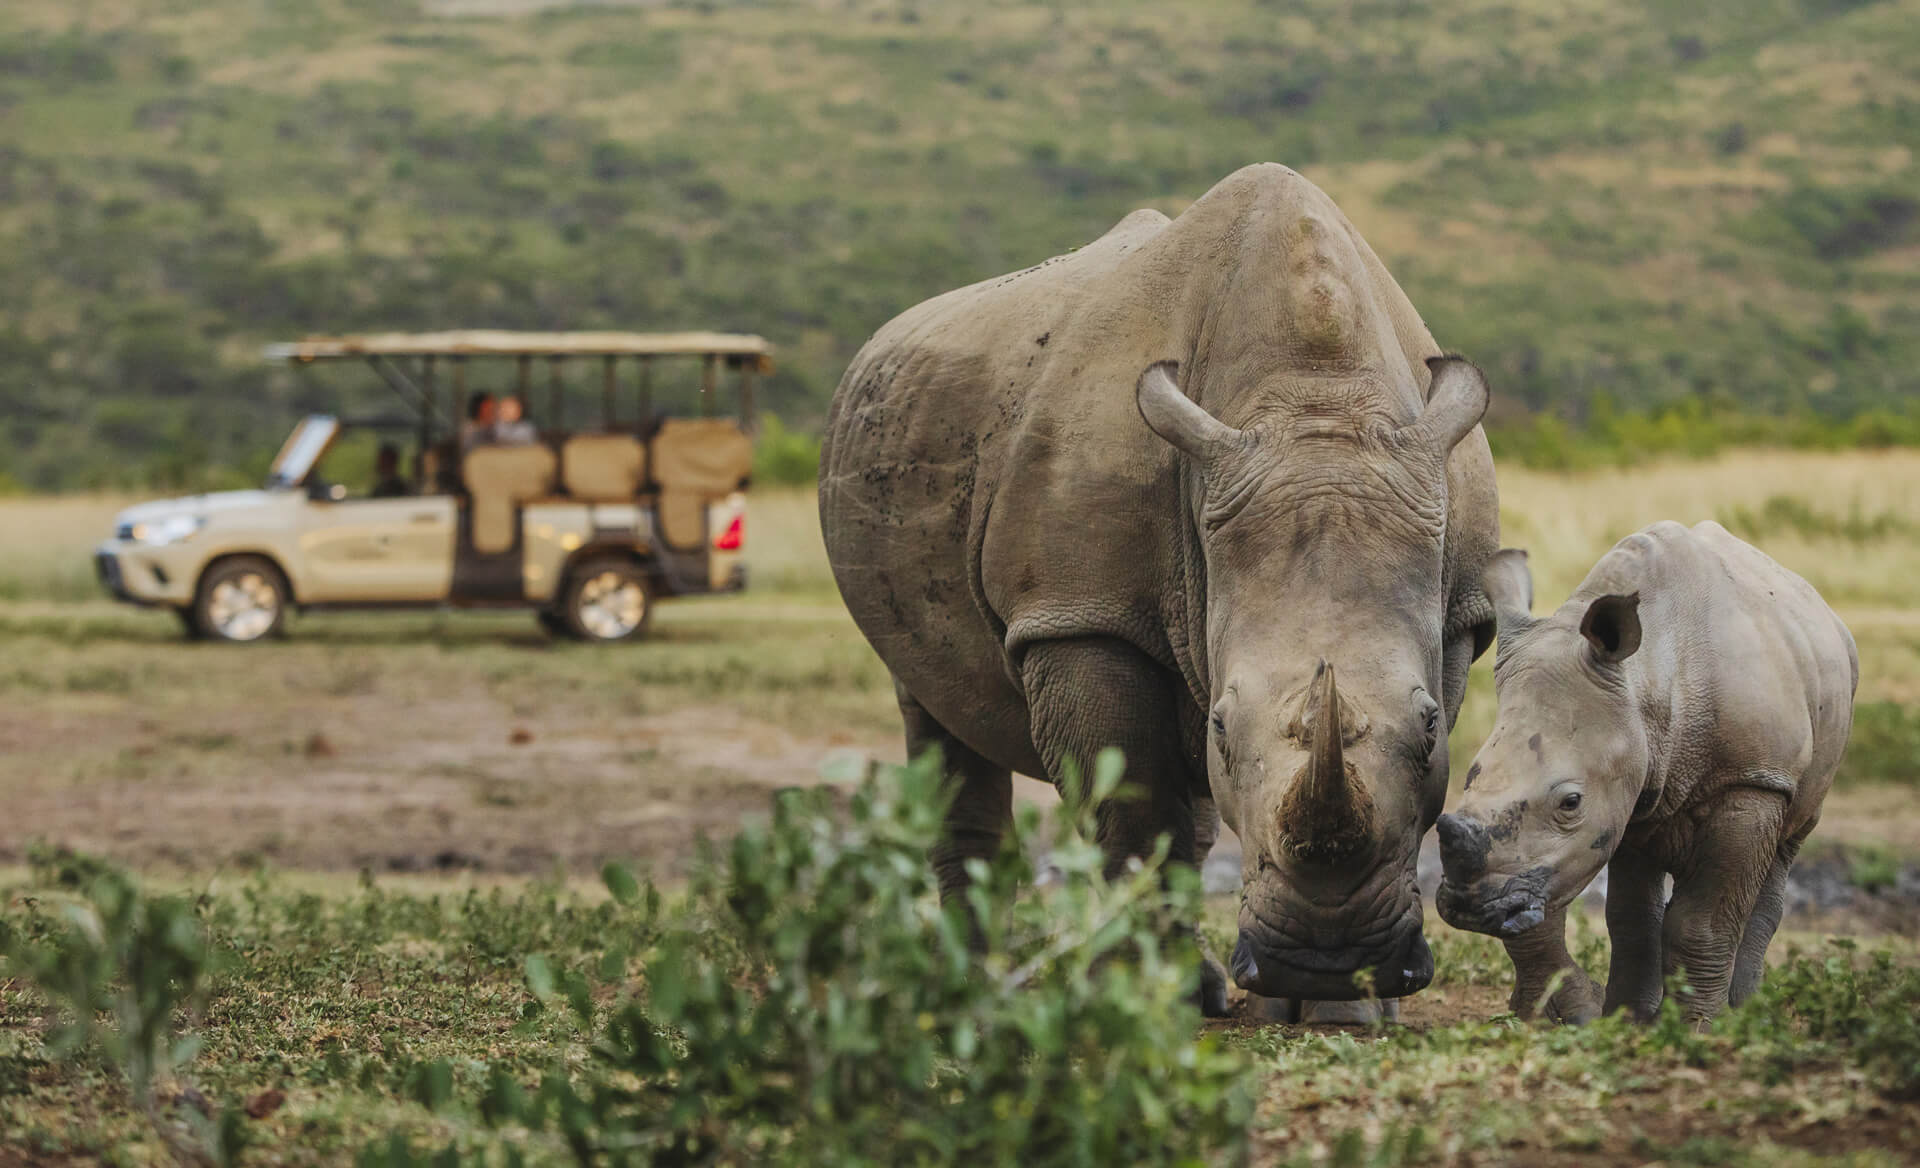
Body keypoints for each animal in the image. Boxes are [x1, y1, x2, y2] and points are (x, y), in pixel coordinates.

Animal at [820, 164, 1500, 1017]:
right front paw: (1140, 1001)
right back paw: (969, 989)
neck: (1316, 401)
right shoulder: (1079, 613)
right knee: (931, 704)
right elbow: (1133, 814)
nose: (1326, 958)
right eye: (1222, 725)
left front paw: (1343, 1010)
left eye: (1432, 723)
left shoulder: (1456, 612)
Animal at [1436, 522, 1857, 1024]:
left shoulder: (1752, 780)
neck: (1650, 677)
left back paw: (1747, 1011)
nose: (1467, 907)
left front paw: (1695, 1028)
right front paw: (1628, 1022)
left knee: (1786, 848)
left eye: (1570, 802)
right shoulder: (1632, 788)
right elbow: (1629, 917)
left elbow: (1705, 922)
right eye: (1470, 775)